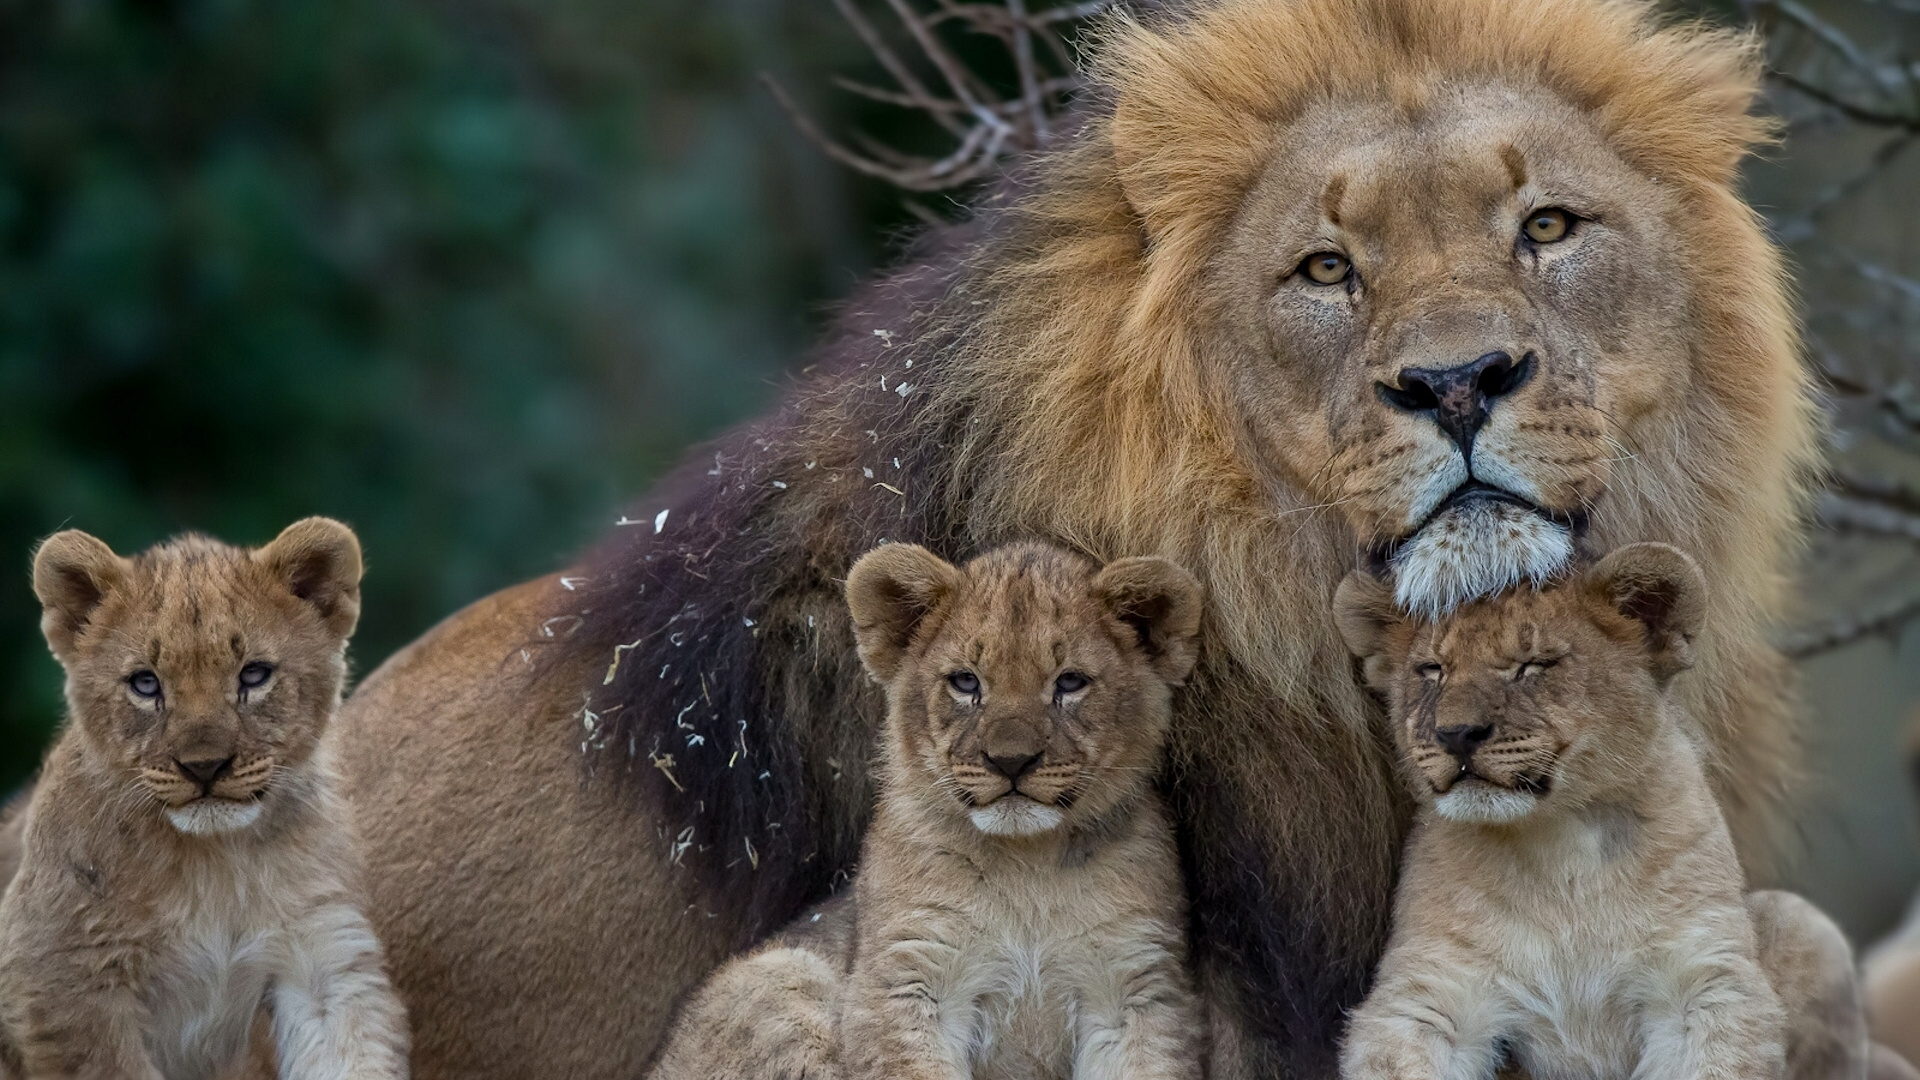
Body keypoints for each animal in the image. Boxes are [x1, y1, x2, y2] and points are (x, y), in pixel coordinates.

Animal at [0, 521, 408, 1080]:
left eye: (254, 674)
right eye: (145, 683)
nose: (204, 767)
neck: (215, 861)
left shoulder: (321, 951)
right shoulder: (60, 978)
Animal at [649, 542, 1203, 1080]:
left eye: (1069, 683)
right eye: (965, 681)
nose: (1011, 761)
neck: (1029, 864)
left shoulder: (1136, 989)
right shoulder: (905, 977)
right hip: (782, 976)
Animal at [1335, 545, 1871, 1080]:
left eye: (1534, 665)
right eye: (1432, 670)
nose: (1457, 734)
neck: (1558, 843)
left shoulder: (1704, 978)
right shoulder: (1428, 994)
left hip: (1802, 921)